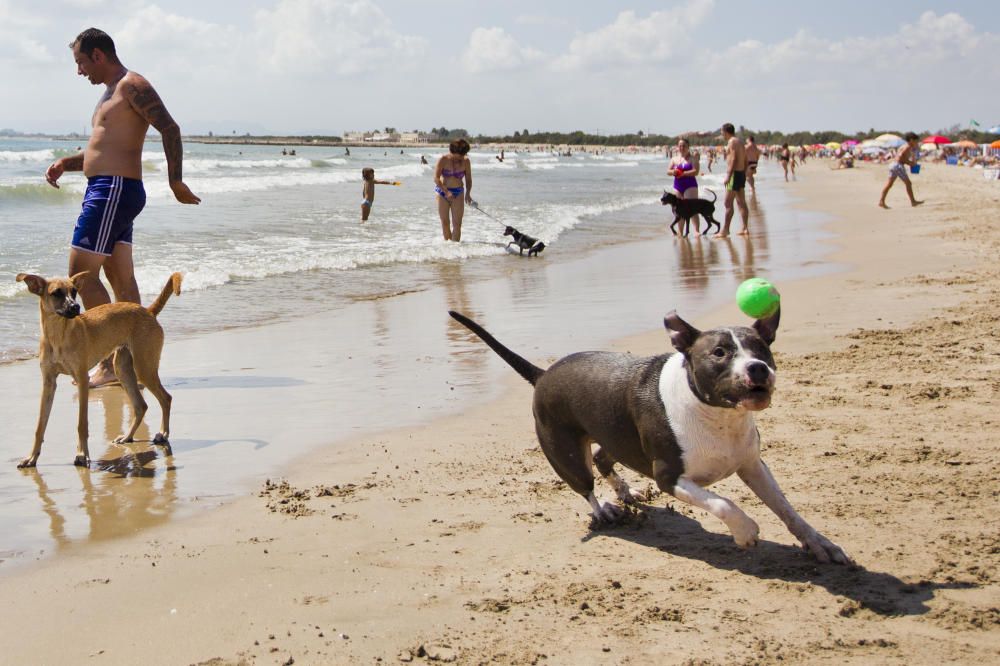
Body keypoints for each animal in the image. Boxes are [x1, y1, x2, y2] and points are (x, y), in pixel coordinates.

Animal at [14, 270, 182, 466]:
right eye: (56, 293)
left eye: (74, 291)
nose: (76, 307)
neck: (58, 336)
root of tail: (148, 311)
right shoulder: (48, 384)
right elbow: (40, 426)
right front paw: (31, 457)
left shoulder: (82, 380)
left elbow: (82, 424)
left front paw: (82, 454)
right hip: (123, 369)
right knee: (141, 406)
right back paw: (127, 437)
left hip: (144, 368)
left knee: (166, 398)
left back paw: (163, 433)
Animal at [450, 308, 848, 564]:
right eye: (719, 352)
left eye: (762, 348)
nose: (758, 368)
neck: (716, 415)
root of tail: (543, 374)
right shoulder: (670, 477)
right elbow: (723, 503)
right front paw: (745, 531)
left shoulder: (752, 464)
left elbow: (787, 509)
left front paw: (820, 544)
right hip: (565, 453)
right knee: (585, 485)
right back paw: (607, 511)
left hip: (617, 436)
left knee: (602, 457)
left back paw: (625, 492)